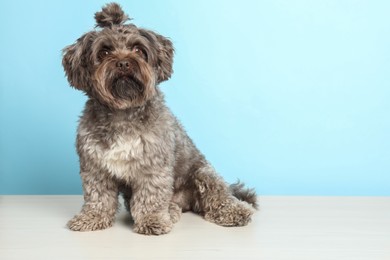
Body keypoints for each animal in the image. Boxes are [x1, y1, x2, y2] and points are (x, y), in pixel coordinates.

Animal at [62, 2, 258, 236]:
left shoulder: (153, 166)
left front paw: (152, 220)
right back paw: (171, 211)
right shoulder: (95, 168)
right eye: (104, 51)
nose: (123, 63)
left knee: (220, 196)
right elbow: (98, 196)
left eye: (138, 50)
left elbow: (151, 197)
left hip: (204, 173)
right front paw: (92, 217)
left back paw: (235, 211)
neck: (122, 112)